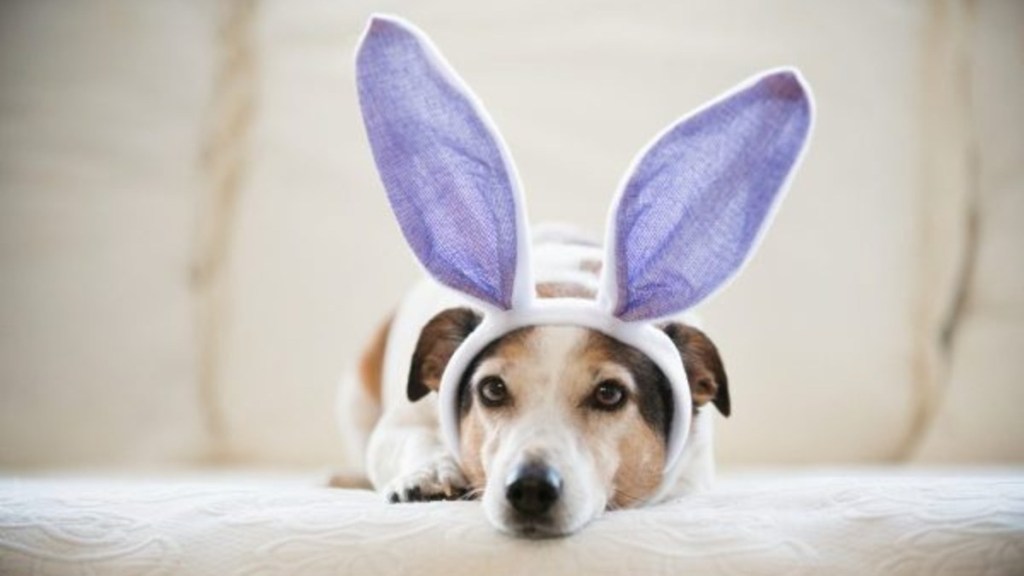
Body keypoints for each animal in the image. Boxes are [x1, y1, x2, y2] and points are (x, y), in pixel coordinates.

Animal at [335, 13, 815, 537]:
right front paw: (430, 472)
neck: (565, 287)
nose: (530, 488)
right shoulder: (401, 421)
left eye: (609, 394)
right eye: (492, 389)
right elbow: (407, 439)